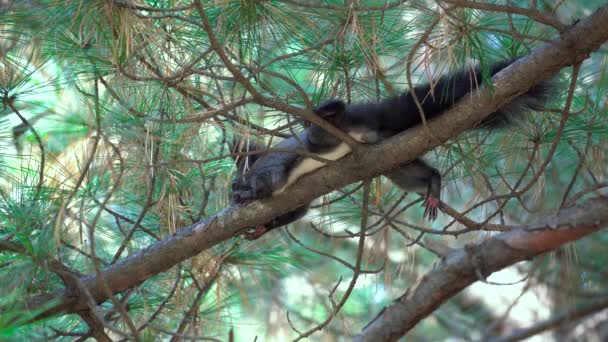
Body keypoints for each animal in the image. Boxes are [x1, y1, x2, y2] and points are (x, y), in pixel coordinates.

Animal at [230, 58, 552, 239]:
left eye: (234, 180)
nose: (233, 191)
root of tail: (375, 120)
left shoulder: (270, 168)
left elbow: (268, 184)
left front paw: (248, 196)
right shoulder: (298, 202)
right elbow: (293, 214)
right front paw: (260, 229)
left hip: (330, 134)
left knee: (335, 114)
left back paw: (320, 111)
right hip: (395, 161)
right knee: (422, 173)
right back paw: (434, 187)